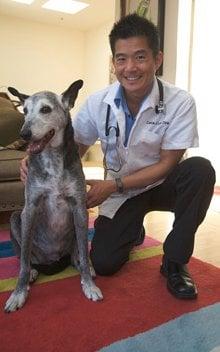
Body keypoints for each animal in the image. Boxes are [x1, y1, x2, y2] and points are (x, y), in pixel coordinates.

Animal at [3, 80, 103, 314]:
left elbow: (84, 252)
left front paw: (89, 285)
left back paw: (83, 264)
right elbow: (22, 262)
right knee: (24, 256)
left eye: (46, 109)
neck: (52, 158)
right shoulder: (30, 208)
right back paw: (32, 271)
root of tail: (52, 260)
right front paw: (18, 294)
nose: (24, 134)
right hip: (16, 218)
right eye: (25, 111)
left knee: (80, 252)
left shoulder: (79, 206)